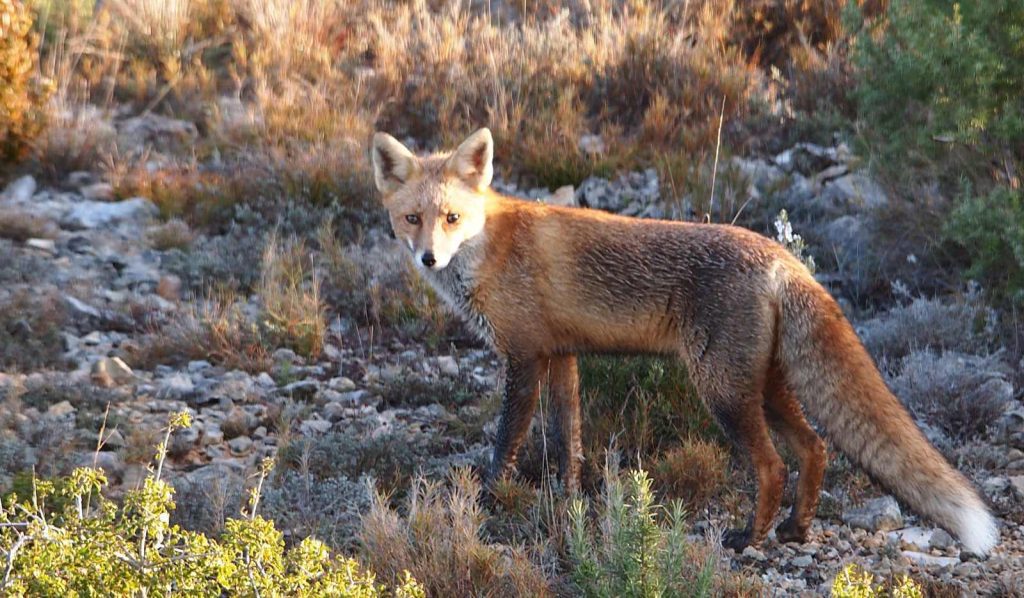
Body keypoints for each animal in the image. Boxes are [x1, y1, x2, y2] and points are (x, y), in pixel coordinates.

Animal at [370, 127, 999, 557]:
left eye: (452, 218)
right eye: (412, 219)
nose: (429, 259)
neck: (490, 249)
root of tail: (783, 257)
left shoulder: (523, 357)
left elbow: (506, 443)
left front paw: (485, 501)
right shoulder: (561, 354)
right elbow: (569, 438)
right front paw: (570, 499)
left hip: (721, 389)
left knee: (773, 465)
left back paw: (749, 537)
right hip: (763, 387)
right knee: (815, 448)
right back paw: (796, 529)